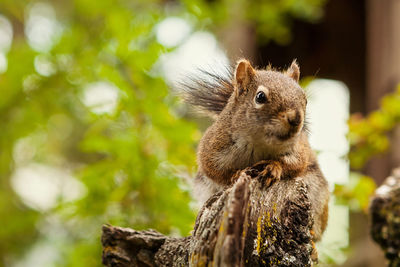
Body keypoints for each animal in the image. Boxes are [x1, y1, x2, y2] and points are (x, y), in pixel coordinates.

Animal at [180, 59, 328, 243]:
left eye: (305, 99)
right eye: (260, 97)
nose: (296, 119)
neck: (259, 143)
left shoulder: (299, 151)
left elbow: (296, 165)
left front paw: (274, 167)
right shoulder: (211, 148)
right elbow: (214, 171)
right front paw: (236, 175)